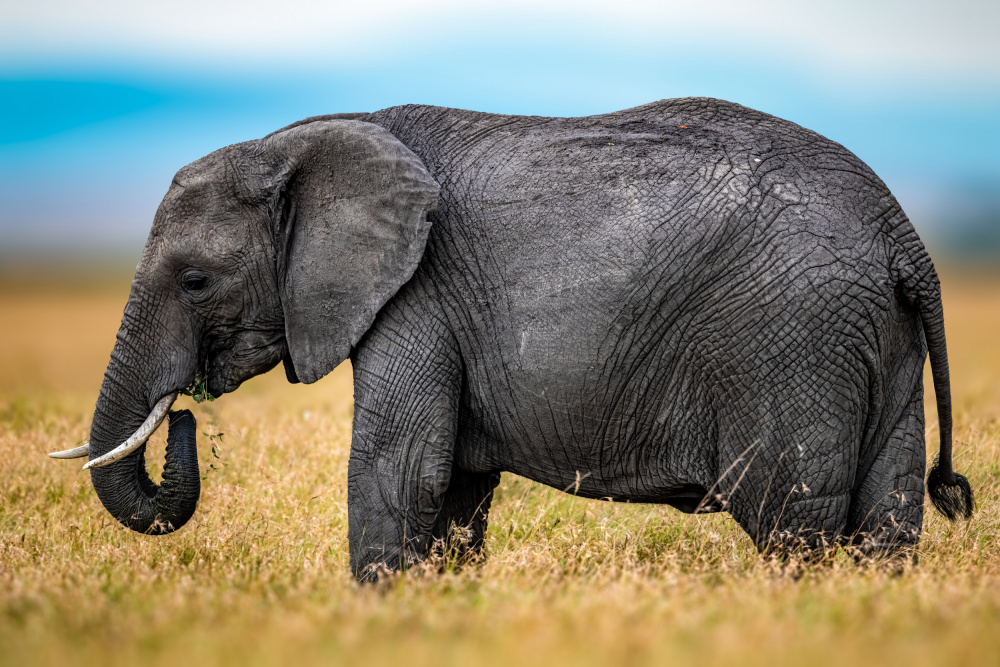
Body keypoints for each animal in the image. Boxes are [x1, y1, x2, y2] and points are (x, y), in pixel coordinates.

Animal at [51, 97, 974, 579]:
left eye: (195, 281)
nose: (183, 412)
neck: (304, 141)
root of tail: (902, 234)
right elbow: (454, 488)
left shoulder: (417, 295)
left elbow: (399, 469)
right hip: (871, 336)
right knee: (886, 513)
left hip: (793, 340)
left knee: (790, 517)